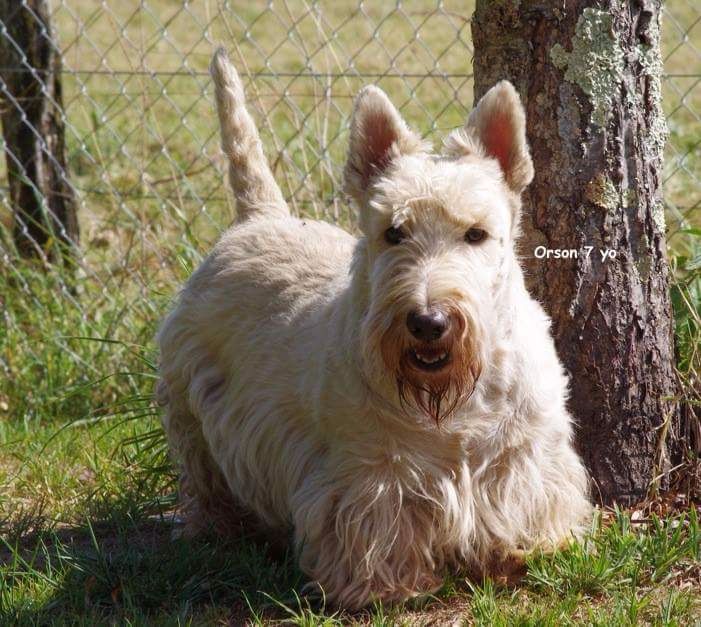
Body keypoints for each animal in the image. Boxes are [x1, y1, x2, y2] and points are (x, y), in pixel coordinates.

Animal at [159, 47, 592, 608]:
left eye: (476, 233)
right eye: (393, 232)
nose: (428, 321)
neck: (452, 402)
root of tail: (258, 217)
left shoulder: (524, 455)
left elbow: (529, 498)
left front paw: (528, 548)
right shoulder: (368, 472)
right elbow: (375, 527)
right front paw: (383, 586)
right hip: (189, 397)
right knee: (200, 471)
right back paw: (213, 528)